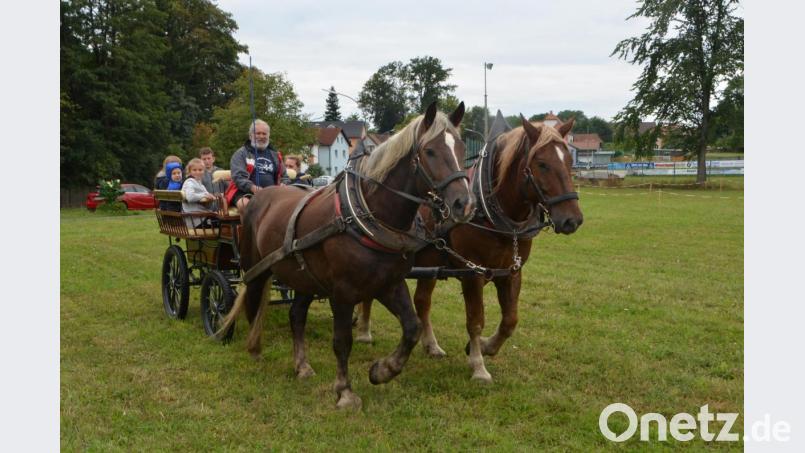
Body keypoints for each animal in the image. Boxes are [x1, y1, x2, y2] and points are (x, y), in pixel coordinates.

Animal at [221, 102, 475, 409]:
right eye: (430, 151)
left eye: (461, 148)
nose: (464, 204)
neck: (365, 216)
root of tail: (260, 197)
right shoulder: (342, 292)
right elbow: (342, 341)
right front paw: (344, 391)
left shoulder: (389, 284)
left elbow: (411, 327)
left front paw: (382, 371)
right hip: (255, 268)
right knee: (253, 305)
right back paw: (255, 350)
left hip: (304, 277)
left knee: (296, 315)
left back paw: (301, 366)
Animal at [355, 115, 584, 383]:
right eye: (542, 164)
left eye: (569, 160)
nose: (572, 220)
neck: (493, 214)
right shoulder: (472, 273)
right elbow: (475, 320)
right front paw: (478, 366)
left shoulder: (511, 272)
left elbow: (510, 320)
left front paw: (486, 346)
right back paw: (364, 330)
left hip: (429, 262)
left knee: (422, 301)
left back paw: (431, 345)